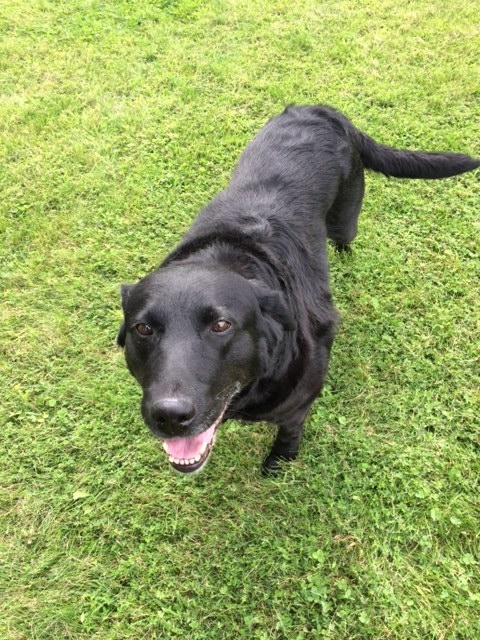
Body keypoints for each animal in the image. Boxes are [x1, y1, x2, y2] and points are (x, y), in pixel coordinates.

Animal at [117, 106, 480, 476]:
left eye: (221, 325)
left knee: (345, 237)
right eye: (142, 329)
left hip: (346, 217)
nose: (169, 415)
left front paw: (281, 459)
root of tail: (320, 110)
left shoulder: (301, 398)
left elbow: (290, 429)